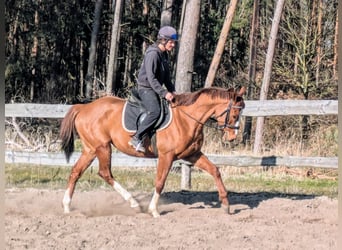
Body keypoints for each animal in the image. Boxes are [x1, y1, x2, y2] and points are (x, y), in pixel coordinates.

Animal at [59, 86, 246, 217]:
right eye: (235, 113)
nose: (232, 138)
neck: (186, 119)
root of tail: (84, 108)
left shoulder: (192, 155)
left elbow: (215, 170)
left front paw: (226, 205)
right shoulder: (166, 156)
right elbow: (160, 182)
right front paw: (154, 210)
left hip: (90, 149)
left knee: (76, 172)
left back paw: (67, 207)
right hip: (102, 147)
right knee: (105, 173)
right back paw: (134, 203)